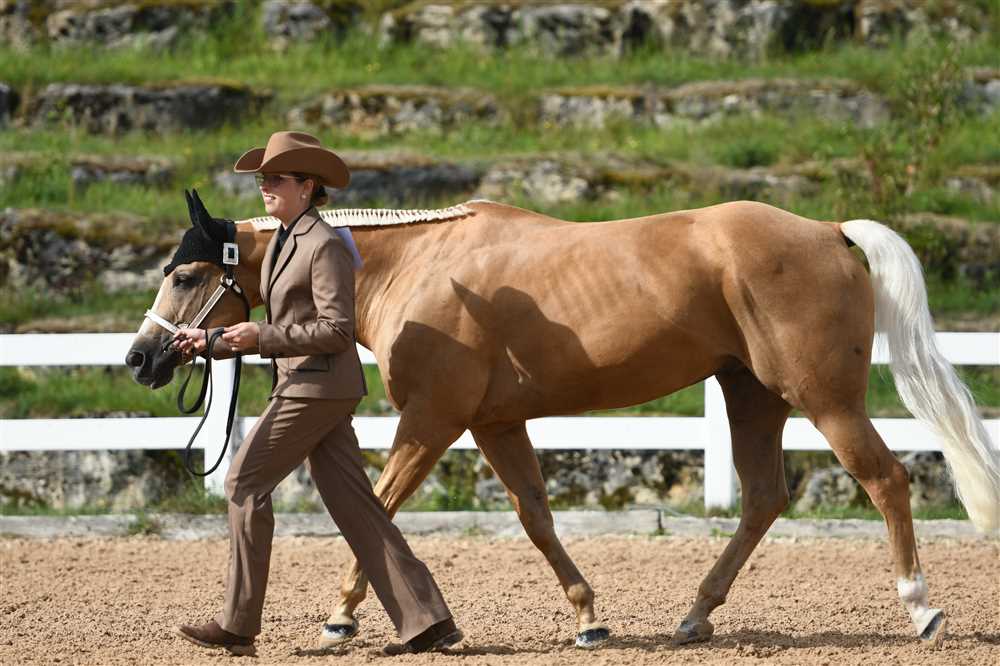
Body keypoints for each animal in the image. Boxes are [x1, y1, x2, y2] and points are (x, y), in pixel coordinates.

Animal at [127, 197, 999, 649]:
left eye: (188, 273)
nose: (142, 358)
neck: (416, 269)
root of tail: (828, 230)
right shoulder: (496, 424)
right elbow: (536, 519)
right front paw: (588, 618)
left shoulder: (433, 418)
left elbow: (379, 506)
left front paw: (341, 619)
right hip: (751, 394)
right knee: (762, 499)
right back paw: (693, 618)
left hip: (824, 398)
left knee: (885, 479)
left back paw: (922, 609)